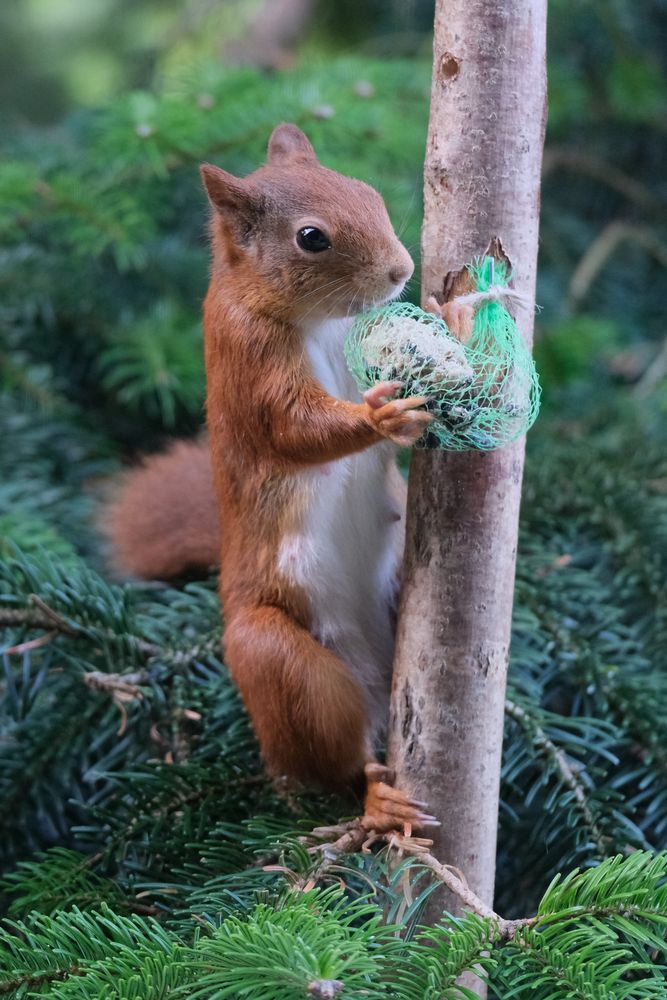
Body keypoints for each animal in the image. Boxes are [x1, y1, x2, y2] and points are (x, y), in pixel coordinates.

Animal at [105, 123, 454, 828]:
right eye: (311, 238)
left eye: (367, 192)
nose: (401, 271)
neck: (322, 321)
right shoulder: (249, 364)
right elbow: (296, 430)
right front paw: (380, 415)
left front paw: (449, 317)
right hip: (279, 661)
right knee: (329, 762)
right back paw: (373, 799)